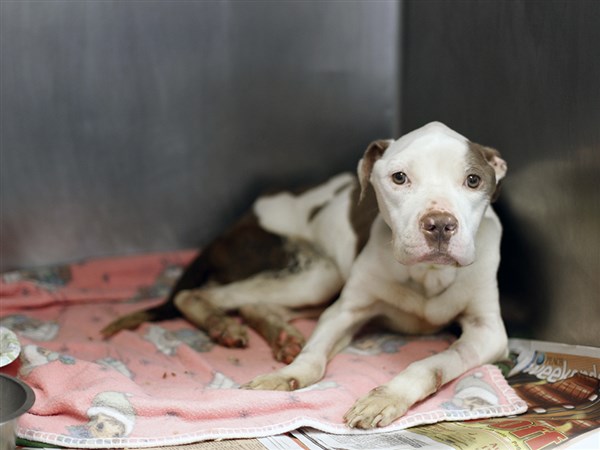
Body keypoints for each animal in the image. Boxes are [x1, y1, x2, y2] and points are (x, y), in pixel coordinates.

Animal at [102, 122, 506, 428]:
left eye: (473, 180)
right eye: (399, 177)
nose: (439, 224)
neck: (427, 275)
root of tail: (242, 217)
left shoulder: (488, 334)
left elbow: (430, 364)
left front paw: (386, 397)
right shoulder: (344, 312)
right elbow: (313, 359)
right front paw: (285, 377)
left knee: (252, 305)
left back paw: (279, 334)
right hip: (316, 274)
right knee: (200, 295)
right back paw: (224, 325)